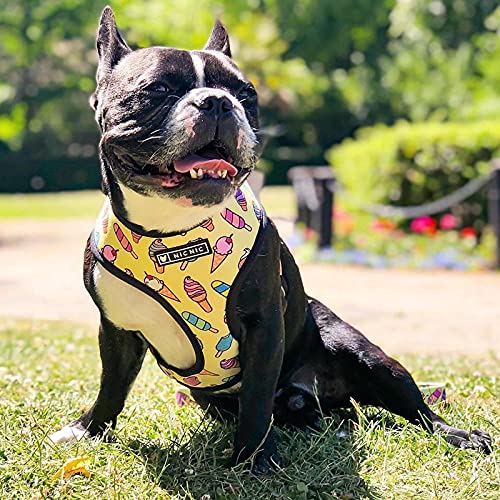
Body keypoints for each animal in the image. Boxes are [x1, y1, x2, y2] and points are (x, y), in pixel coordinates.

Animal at [50, 7, 492, 474]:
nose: (218, 101)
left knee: (417, 408)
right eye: (159, 89)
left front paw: (253, 457)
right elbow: (112, 385)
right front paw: (89, 430)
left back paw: (457, 434)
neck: (173, 235)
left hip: (366, 355)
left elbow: (257, 396)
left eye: (246, 94)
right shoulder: (116, 331)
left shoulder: (263, 329)